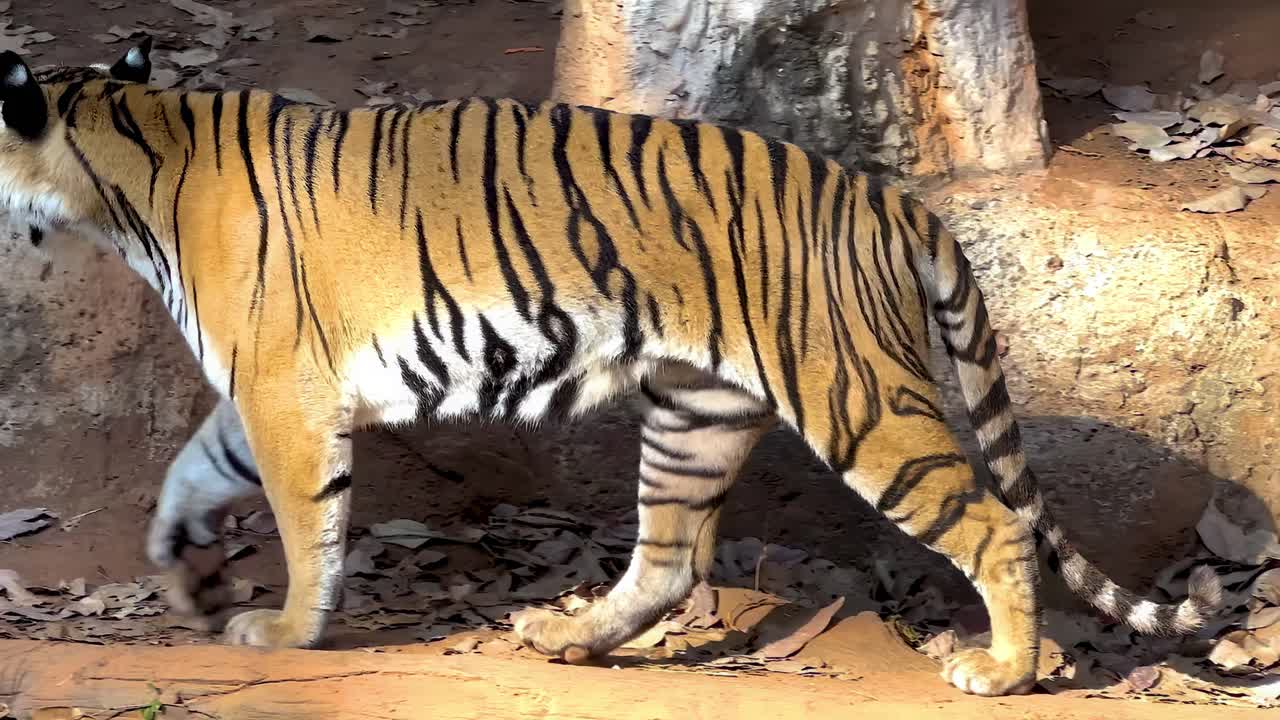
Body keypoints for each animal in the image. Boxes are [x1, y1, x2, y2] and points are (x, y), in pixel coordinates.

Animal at [1, 37, 1221, 697]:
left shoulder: (284, 390)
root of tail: (889, 198)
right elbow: (190, 471)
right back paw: (566, 636)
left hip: (859, 403)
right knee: (671, 563)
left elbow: (310, 530)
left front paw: (285, 631)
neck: (128, 154)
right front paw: (181, 567)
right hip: (696, 412)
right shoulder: (258, 385)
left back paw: (1001, 670)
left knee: (994, 521)